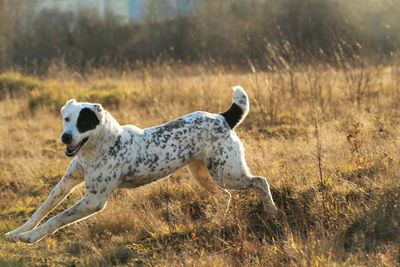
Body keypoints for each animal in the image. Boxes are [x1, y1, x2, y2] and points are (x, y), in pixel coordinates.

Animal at [3, 86, 278, 243]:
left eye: (84, 122)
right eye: (67, 118)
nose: (65, 137)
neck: (98, 147)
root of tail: (222, 117)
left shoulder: (94, 200)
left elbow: (56, 219)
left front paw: (30, 238)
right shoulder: (65, 184)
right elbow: (40, 212)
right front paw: (17, 233)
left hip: (228, 173)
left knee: (260, 182)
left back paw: (272, 211)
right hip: (202, 174)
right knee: (225, 196)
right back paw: (214, 223)